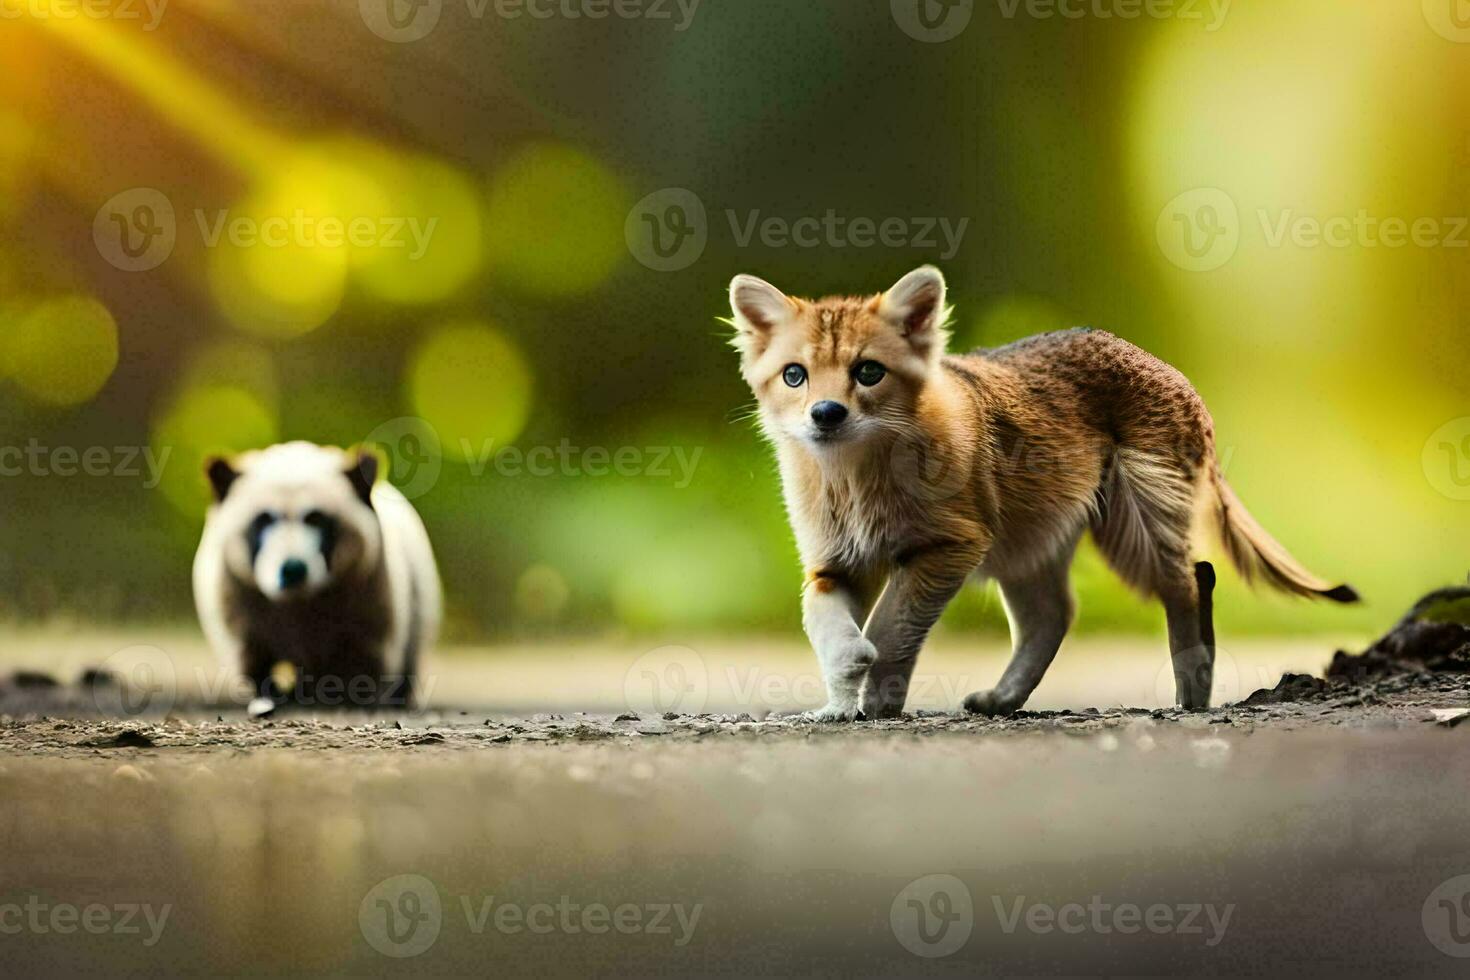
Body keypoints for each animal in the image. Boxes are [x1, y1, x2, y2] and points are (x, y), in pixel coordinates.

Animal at [729, 265, 1358, 719]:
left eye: (868, 372)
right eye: (794, 375)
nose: (826, 414)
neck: (852, 478)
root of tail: (1168, 370)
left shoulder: (949, 547)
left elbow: (892, 624)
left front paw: (876, 692)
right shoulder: (838, 563)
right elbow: (820, 618)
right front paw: (841, 697)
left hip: (1132, 530)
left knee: (1190, 579)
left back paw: (1192, 696)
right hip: (1027, 546)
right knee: (1054, 615)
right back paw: (1004, 700)